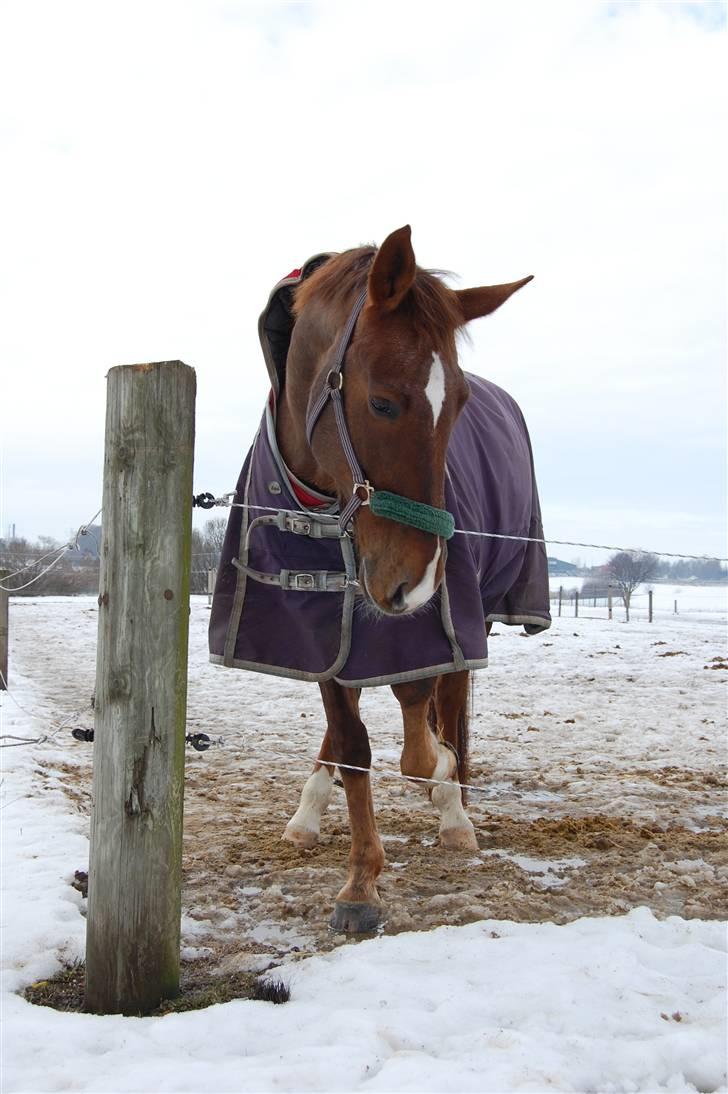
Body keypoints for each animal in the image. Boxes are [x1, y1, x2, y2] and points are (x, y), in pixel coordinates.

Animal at [206, 226, 547, 927]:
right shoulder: (322, 631)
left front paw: (440, 782)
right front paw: (361, 882)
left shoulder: (423, 627)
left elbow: (417, 731)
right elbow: (351, 742)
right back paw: (312, 811)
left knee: (447, 701)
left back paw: (454, 807)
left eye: (460, 405)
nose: (417, 581)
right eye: (382, 401)